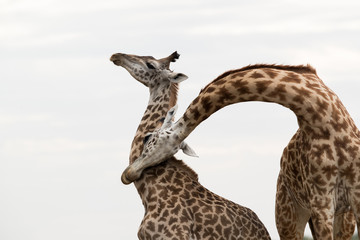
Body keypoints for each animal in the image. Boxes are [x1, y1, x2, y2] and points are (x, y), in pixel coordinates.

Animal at [122, 63, 358, 240]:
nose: (128, 174)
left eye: (148, 137)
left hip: (335, 216)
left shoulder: (347, 197)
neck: (321, 115)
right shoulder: (320, 201)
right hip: (290, 213)